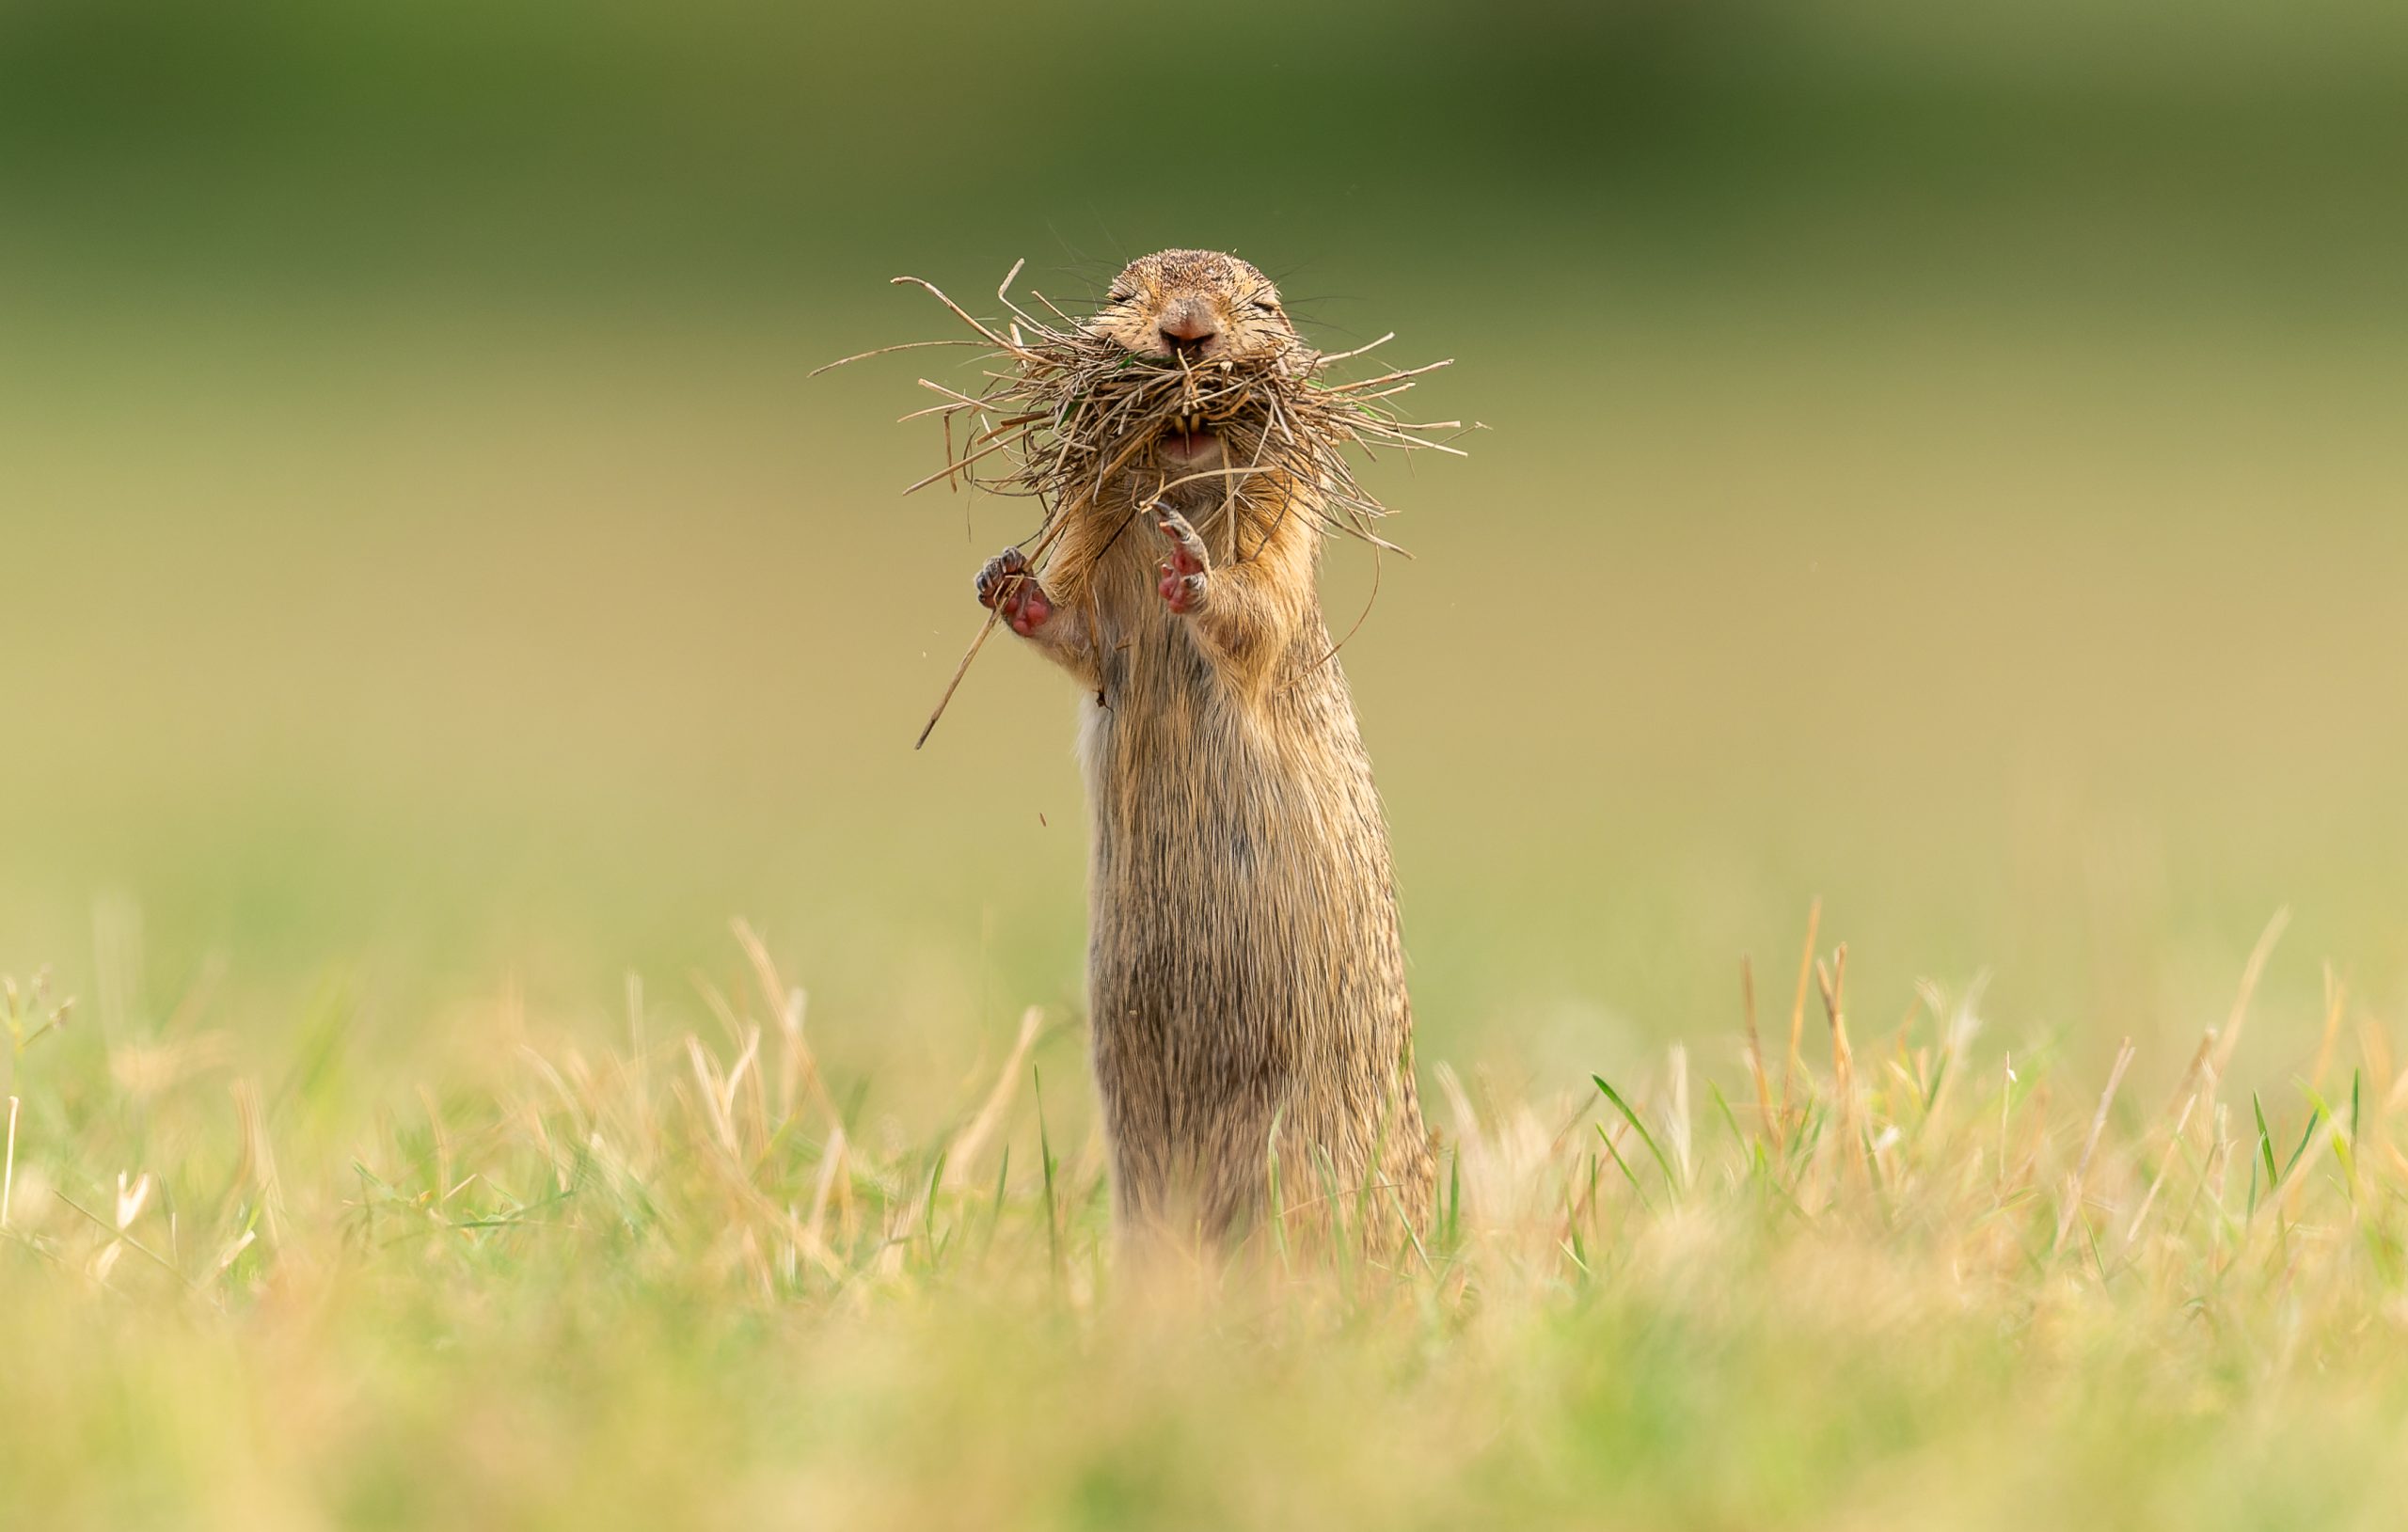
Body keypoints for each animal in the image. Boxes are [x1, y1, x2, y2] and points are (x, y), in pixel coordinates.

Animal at [973, 242, 1425, 1242]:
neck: (1186, 482)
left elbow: (1251, 619)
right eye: (1119, 295)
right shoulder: (1101, 586)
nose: (1187, 330)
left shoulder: (1283, 564)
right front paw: (1005, 579)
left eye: (1264, 304)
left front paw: (1191, 568)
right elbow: (1078, 635)